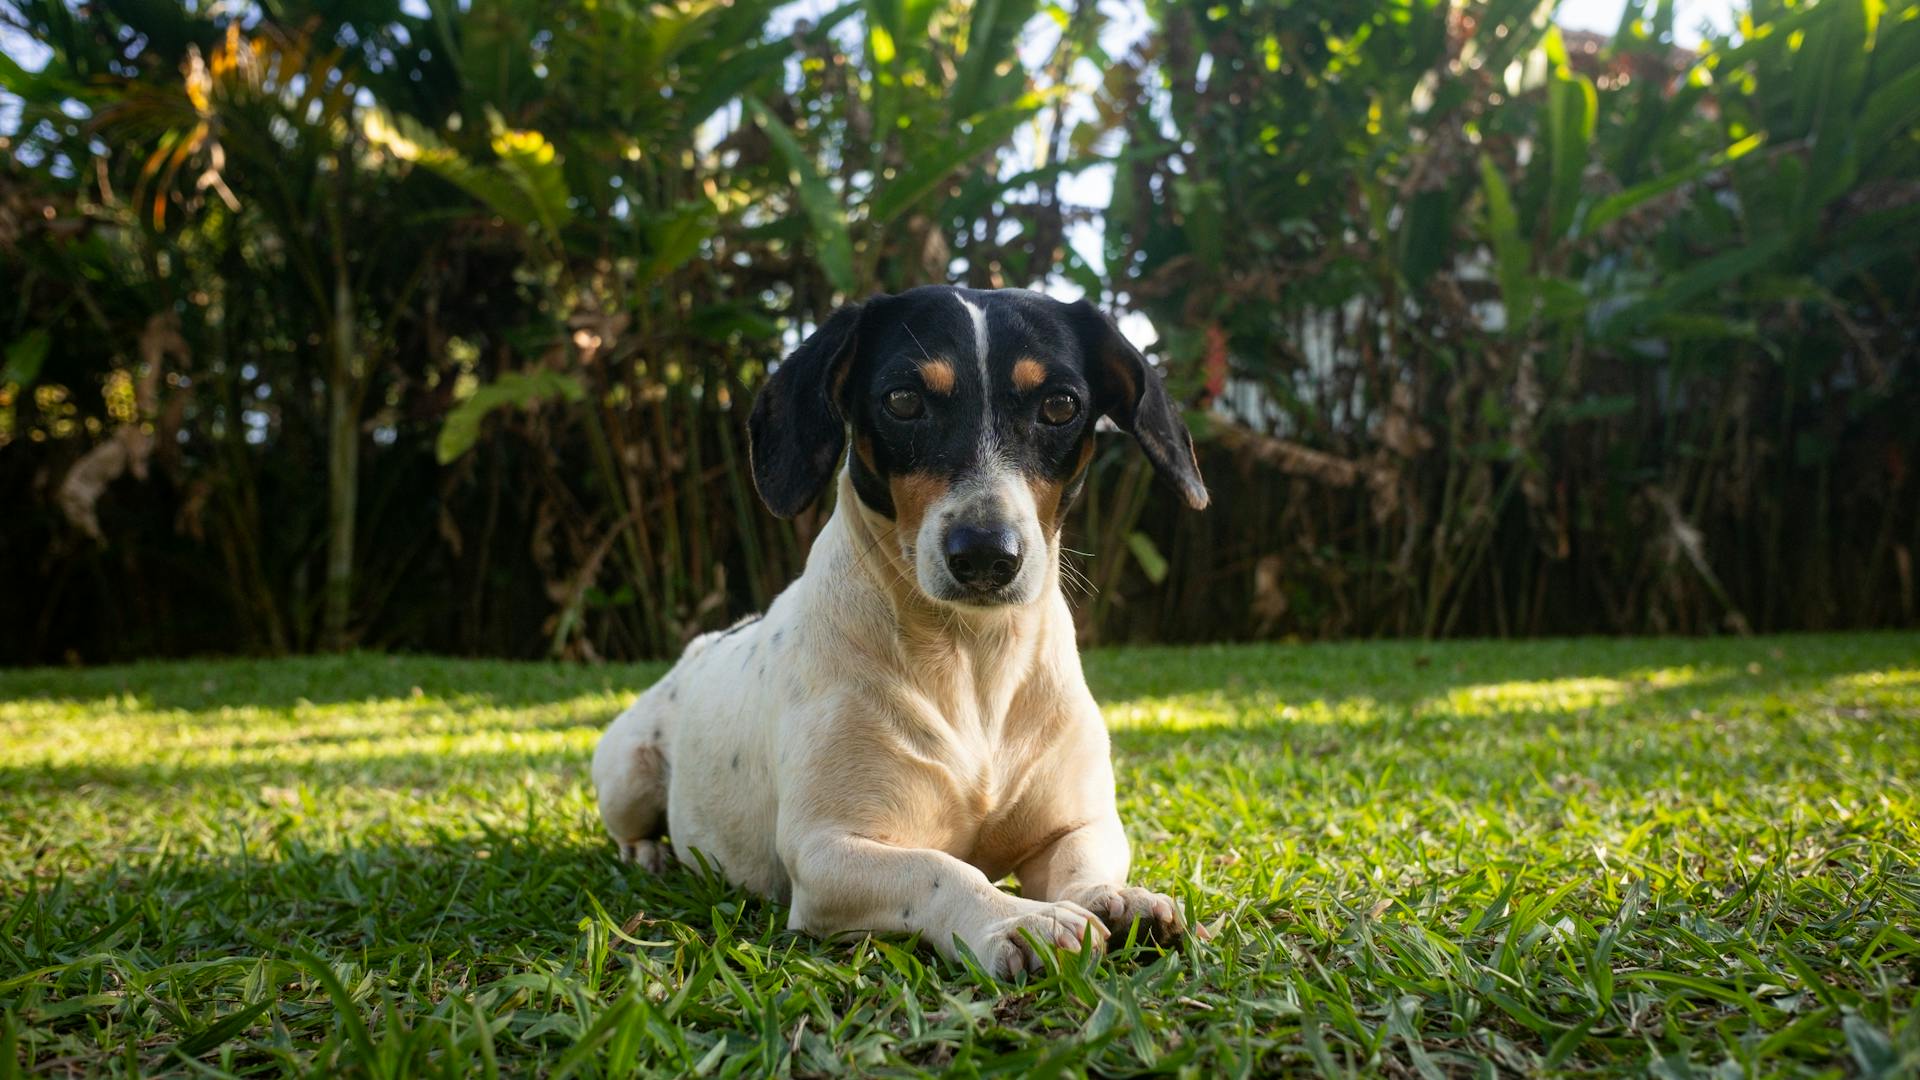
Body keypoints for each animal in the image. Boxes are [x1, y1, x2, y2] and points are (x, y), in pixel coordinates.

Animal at [591, 286, 1205, 976]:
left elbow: (1083, 864)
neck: (973, 660)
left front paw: (1113, 898)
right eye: (904, 400)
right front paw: (1016, 919)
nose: (986, 554)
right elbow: (941, 871)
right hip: (628, 771)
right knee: (630, 824)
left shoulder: (1078, 823)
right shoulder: (828, 853)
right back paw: (648, 851)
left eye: (1060, 405)